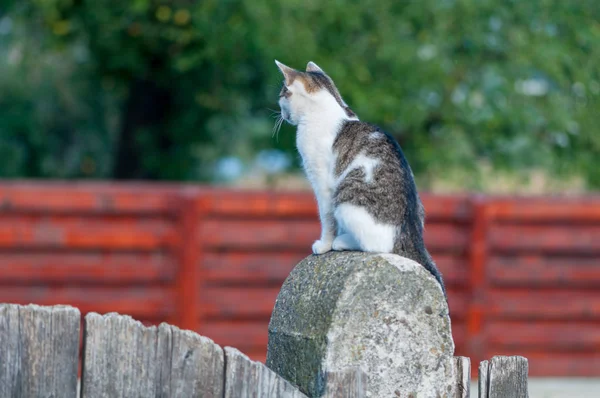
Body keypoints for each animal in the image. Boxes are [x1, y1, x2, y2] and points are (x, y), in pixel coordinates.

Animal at [276, 58, 446, 296]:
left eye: (282, 95)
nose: (281, 114)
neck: (327, 108)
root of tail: (410, 236)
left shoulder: (323, 186)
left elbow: (327, 219)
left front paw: (324, 244)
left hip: (346, 202)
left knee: (375, 245)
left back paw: (342, 242)